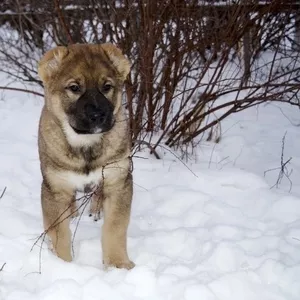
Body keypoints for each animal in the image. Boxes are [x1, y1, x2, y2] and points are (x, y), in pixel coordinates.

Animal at [38, 42, 134, 270]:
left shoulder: (118, 181)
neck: (86, 145)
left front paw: (118, 264)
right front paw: (62, 264)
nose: (98, 115)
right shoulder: (55, 188)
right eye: (74, 88)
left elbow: (115, 227)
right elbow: (59, 233)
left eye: (107, 86)